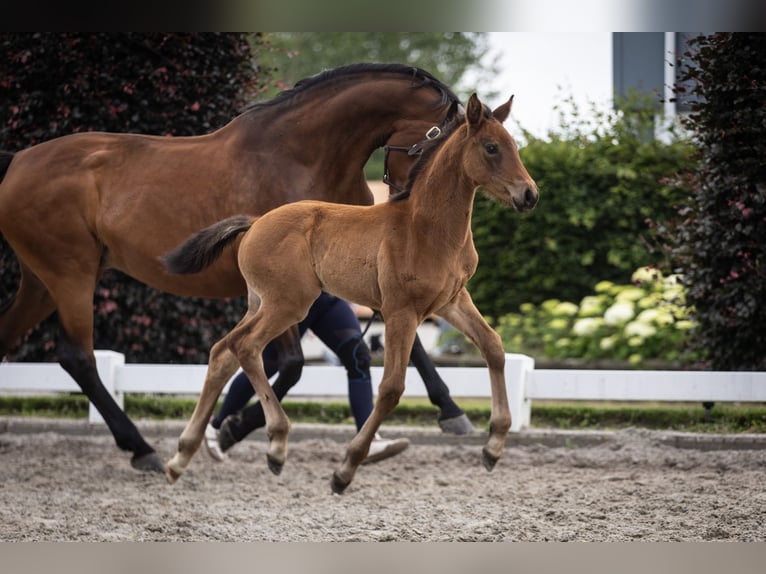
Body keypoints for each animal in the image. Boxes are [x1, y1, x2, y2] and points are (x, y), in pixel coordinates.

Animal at [0, 63, 470, 474]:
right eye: (437, 146)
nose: (415, 213)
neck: (305, 157)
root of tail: (19, 161)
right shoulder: (292, 288)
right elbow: (289, 364)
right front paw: (233, 431)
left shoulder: (354, 276)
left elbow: (404, 347)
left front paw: (452, 412)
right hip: (70, 274)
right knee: (78, 357)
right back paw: (143, 449)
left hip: (44, 281)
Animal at [162, 92, 539, 493]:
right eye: (491, 147)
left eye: (514, 146)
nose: (529, 194)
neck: (425, 228)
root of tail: (254, 222)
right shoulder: (401, 311)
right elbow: (391, 388)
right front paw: (346, 468)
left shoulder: (452, 301)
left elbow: (493, 347)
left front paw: (494, 446)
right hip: (288, 304)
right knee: (245, 347)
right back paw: (275, 445)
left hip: (261, 302)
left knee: (223, 352)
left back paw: (181, 456)